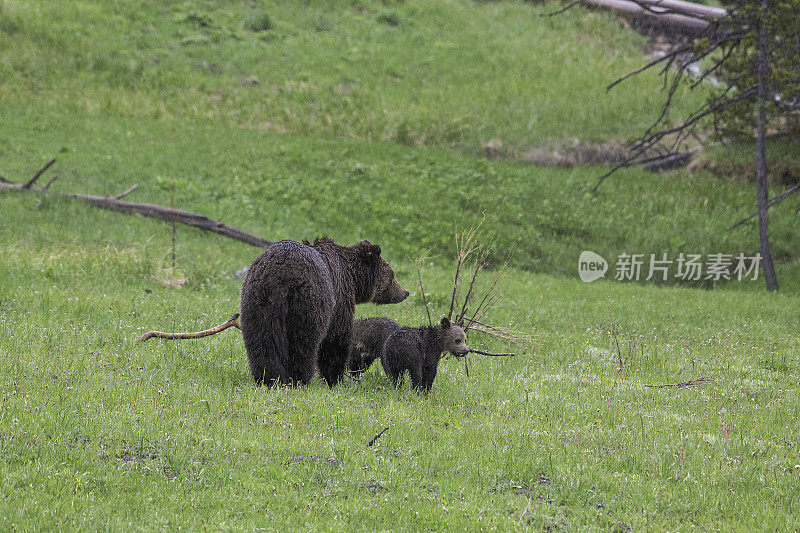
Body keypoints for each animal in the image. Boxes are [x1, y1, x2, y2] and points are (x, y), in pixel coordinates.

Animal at [239, 238, 410, 386]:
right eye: (392, 275)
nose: (405, 292)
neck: (352, 277)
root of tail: (280, 275)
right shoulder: (339, 298)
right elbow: (336, 340)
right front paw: (335, 379)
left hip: (257, 301)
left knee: (262, 342)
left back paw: (268, 378)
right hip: (307, 302)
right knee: (302, 344)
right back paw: (299, 378)